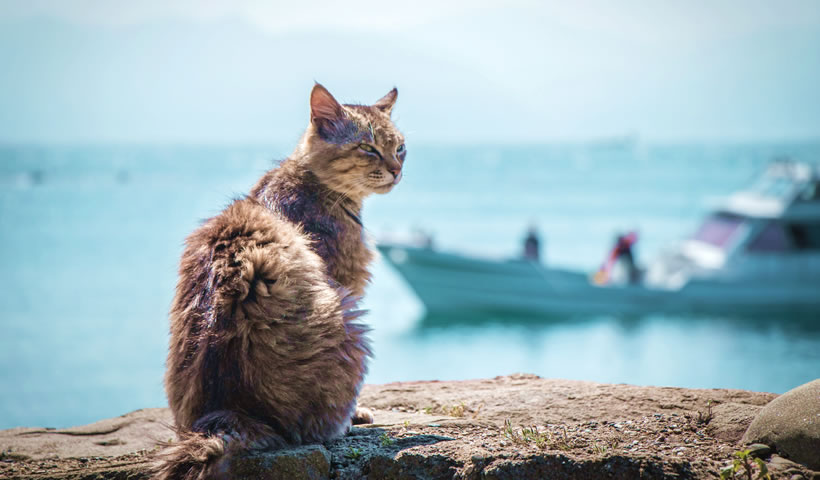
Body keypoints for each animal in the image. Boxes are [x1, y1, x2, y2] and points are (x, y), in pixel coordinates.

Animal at [153, 84, 404, 478]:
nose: (397, 169)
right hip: (350, 321)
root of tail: (228, 413)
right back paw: (342, 422)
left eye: (400, 147)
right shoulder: (344, 281)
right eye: (368, 147)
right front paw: (357, 414)